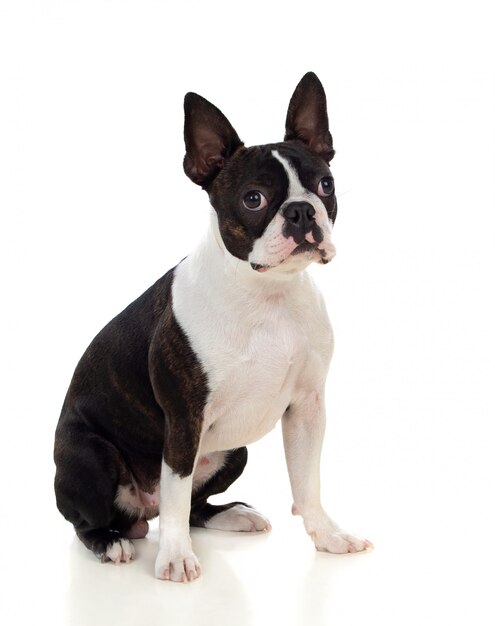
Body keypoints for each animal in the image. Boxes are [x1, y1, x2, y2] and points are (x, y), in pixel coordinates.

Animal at [53, 72, 372, 580]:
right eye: (253, 199)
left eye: (326, 184)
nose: (302, 211)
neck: (267, 296)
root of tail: (139, 512)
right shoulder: (184, 419)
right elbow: (177, 490)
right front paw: (175, 558)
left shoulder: (306, 409)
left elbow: (307, 482)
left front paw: (328, 535)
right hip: (91, 457)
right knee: (101, 518)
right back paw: (111, 542)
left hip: (234, 451)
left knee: (189, 506)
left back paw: (232, 515)